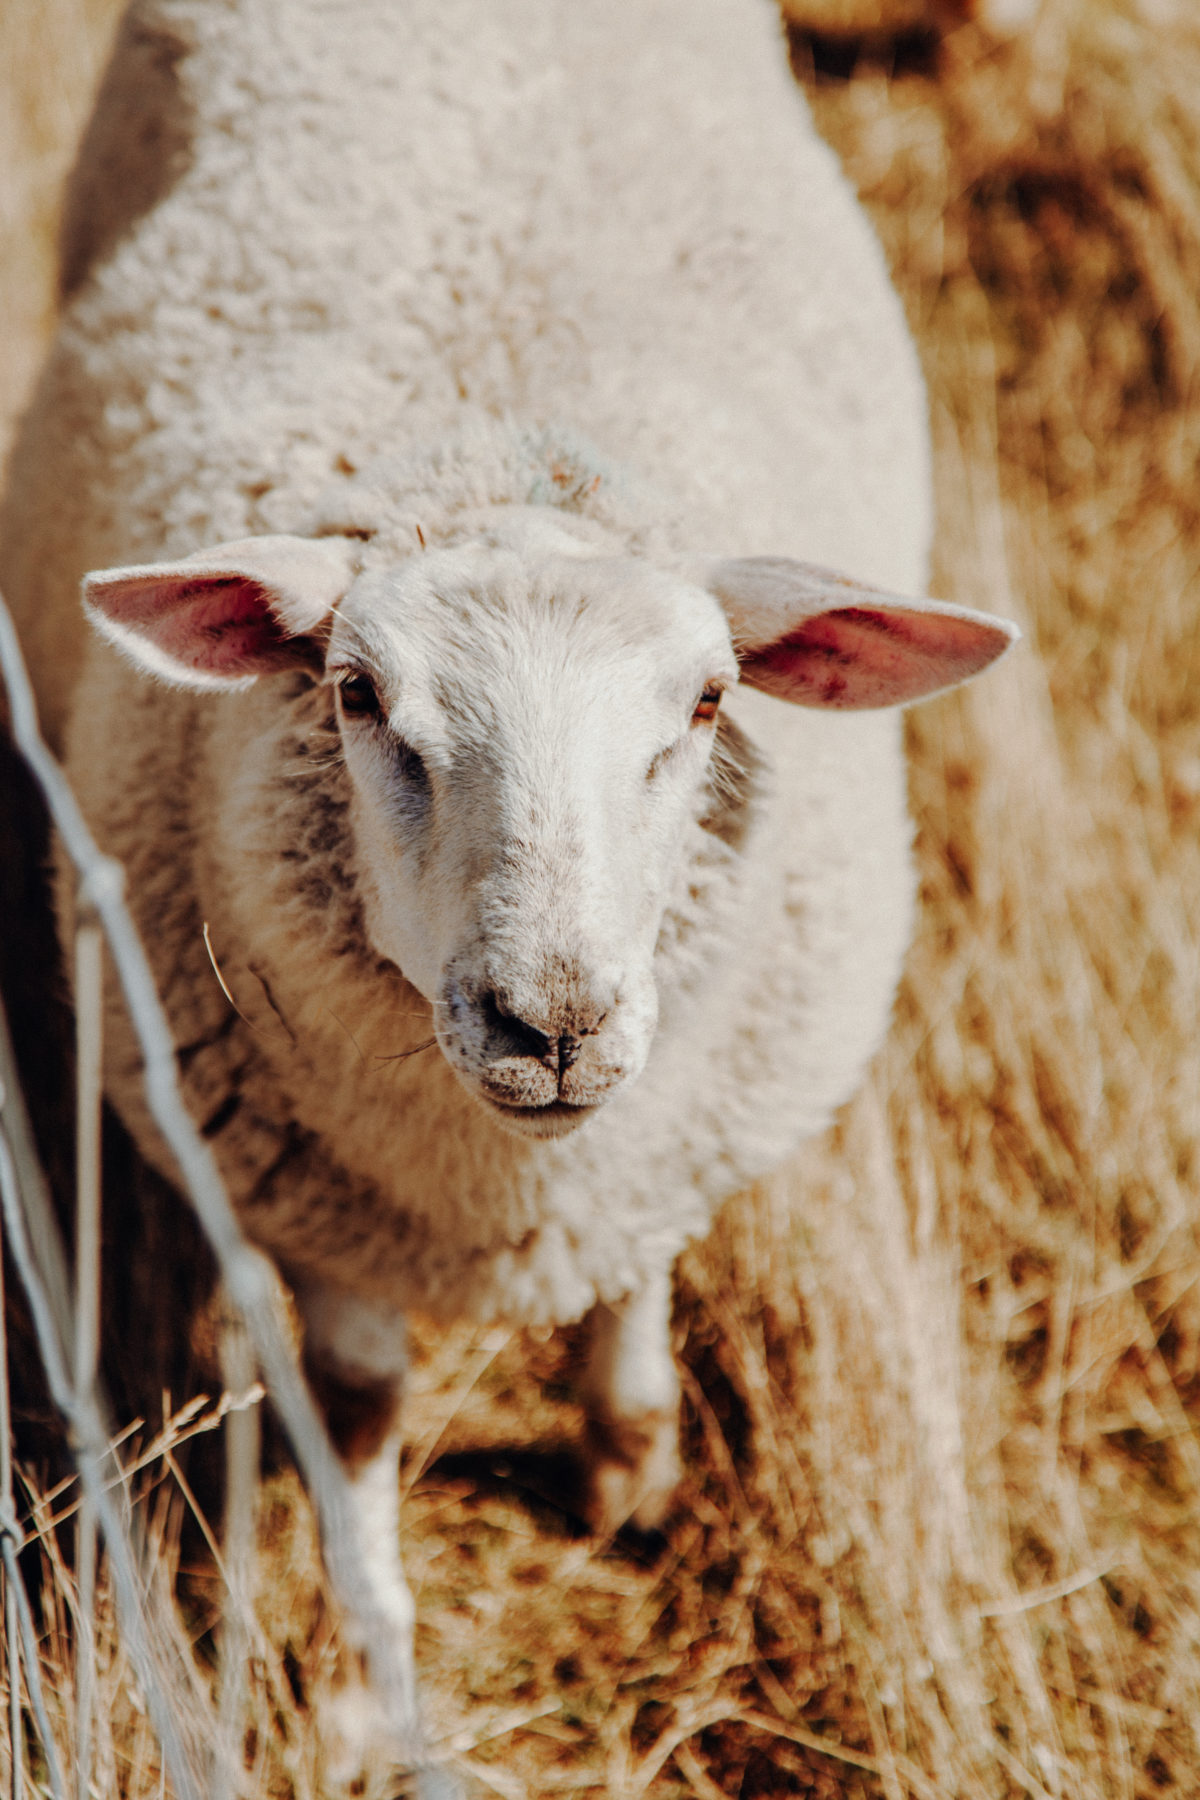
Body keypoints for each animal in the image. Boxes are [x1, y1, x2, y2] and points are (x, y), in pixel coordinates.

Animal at [0, 0, 1021, 1778]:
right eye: (354, 697)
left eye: (706, 705)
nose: (550, 1025)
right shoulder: (305, 1189)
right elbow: (355, 1407)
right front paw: (367, 1690)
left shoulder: (670, 1124)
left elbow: (639, 1257)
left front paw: (627, 1461)